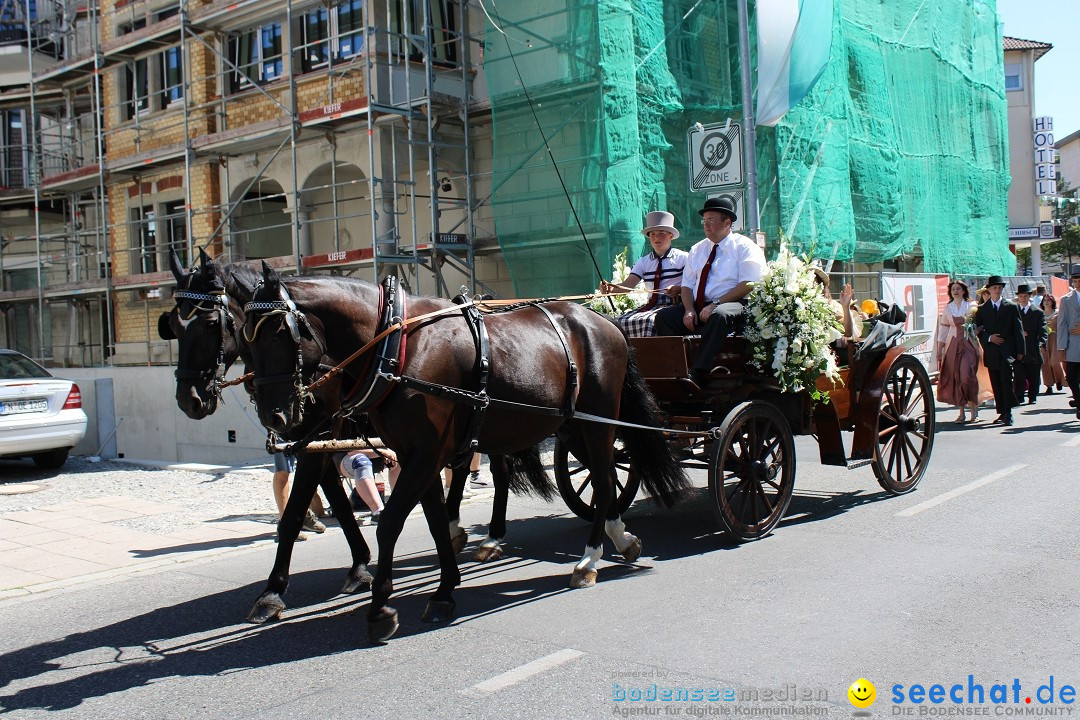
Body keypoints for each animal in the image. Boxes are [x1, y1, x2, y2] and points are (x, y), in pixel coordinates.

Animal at [244, 263, 686, 643]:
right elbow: (437, 523)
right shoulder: (417, 453)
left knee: (604, 478)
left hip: (597, 423)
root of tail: (605, 321)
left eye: (279, 332)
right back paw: (619, 538)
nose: (273, 416)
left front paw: (381, 609)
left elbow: (390, 523)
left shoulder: (424, 453)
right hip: (571, 425)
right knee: (604, 476)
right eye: (247, 336)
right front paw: (444, 591)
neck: (399, 346)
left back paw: (589, 559)